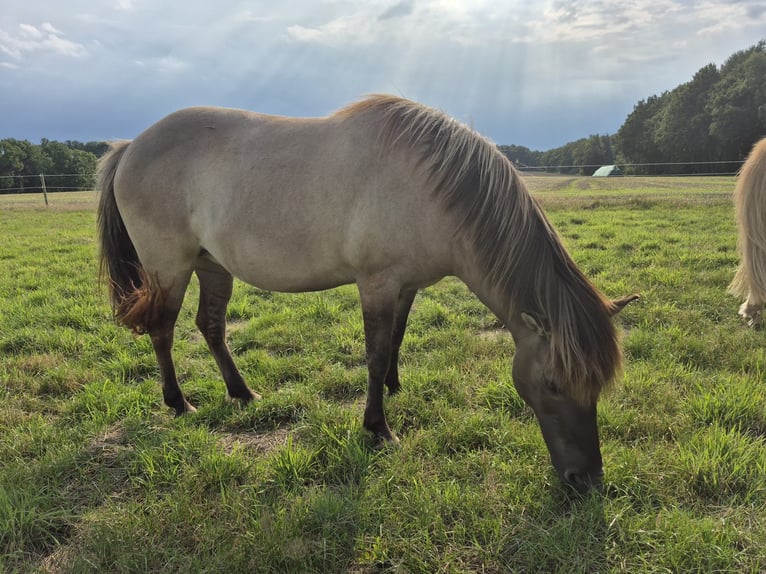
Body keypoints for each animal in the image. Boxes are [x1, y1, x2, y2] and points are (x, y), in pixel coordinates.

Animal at [97, 95, 638, 492]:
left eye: (598, 386)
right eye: (552, 385)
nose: (586, 480)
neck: (432, 187)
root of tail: (132, 145)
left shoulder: (406, 286)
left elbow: (395, 341)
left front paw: (395, 389)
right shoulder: (376, 283)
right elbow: (374, 355)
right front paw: (378, 428)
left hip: (213, 266)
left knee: (209, 327)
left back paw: (242, 392)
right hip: (170, 268)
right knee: (163, 330)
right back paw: (178, 403)